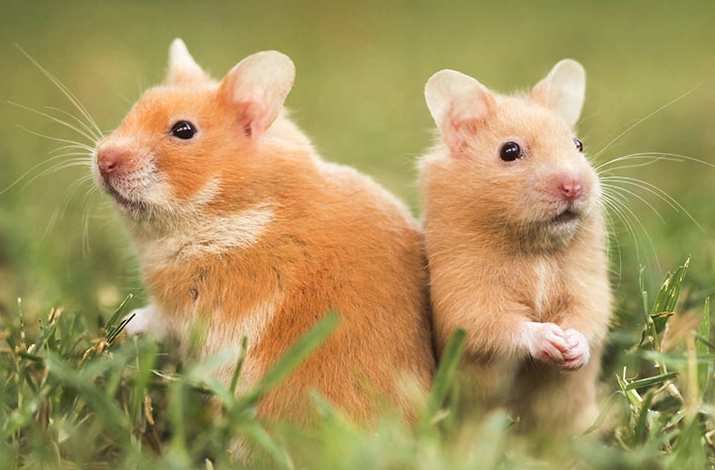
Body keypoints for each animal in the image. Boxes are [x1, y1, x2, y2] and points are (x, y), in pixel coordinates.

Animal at [93, 39, 435, 432]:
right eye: (136, 107)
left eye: (183, 130)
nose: (102, 160)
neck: (236, 209)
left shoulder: (193, 306)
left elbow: (156, 319)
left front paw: (124, 324)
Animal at [419, 60, 611, 434]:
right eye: (509, 151)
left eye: (578, 144)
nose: (574, 186)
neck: (534, 247)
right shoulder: (467, 296)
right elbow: (499, 325)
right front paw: (552, 340)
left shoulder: (587, 284)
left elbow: (589, 317)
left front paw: (572, 348)